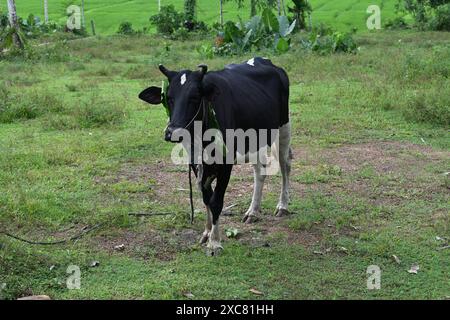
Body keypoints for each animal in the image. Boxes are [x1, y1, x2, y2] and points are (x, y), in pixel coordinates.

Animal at [138, 57, 292, 255]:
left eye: (194, 97)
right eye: (169, 98)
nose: (172, 132)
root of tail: (264, 60)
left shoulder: (226, 163)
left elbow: (216, 201)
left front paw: (215, 242)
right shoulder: (195, 162)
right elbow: (206, 198)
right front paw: (207, 232)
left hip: (283, 127)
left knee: (285, 165)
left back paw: (282, 206)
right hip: (254, 139)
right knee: (260, 171)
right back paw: (253, 211)